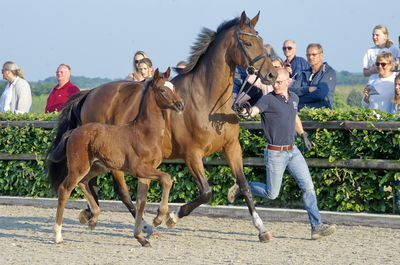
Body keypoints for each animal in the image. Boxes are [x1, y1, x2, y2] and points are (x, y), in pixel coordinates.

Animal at [53, 68, 184, 245]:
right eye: (162, 90)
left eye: (174, 88)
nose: (180, 104)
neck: (144, 133)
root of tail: (74, 131)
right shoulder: (139, 169)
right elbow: (167, 179)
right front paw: (158, 218)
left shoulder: (146, 173)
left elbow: (141, 201)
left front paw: (141, 238)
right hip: (79, 167)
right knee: (65, 189)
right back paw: (58, 235)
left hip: (97, 167)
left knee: (83, 182)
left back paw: (93, 218)